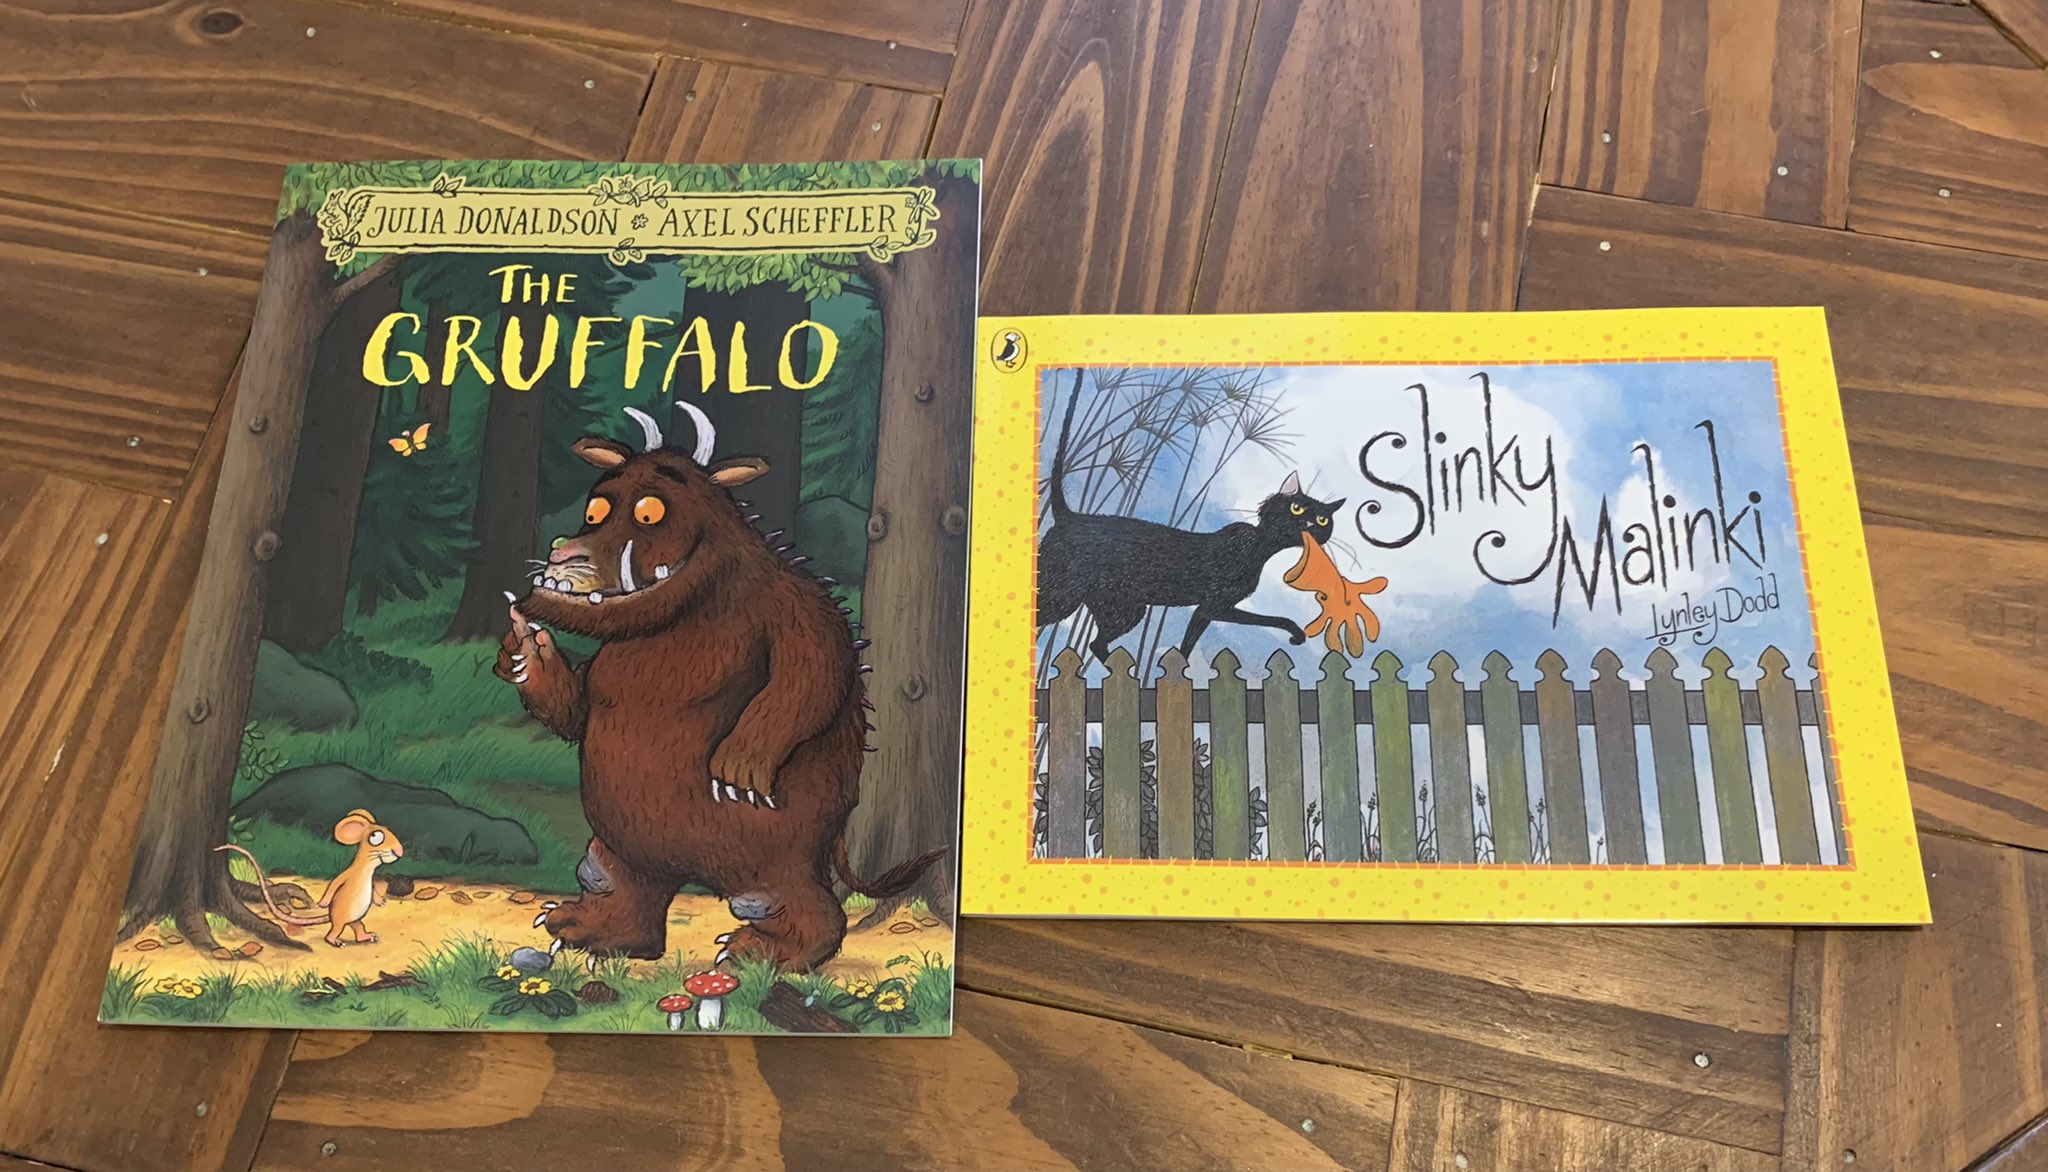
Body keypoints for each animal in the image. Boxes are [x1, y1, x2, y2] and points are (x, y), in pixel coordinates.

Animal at [1037, 371, 1344, 663]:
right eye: (1297, 508)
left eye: (1323, 520)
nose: (1308, 523)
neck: (1259, 547)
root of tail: (1070, 517)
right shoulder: (1216, 605)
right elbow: (1268, 619)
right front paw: (1296, 633)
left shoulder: (1205, 611)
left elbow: (1187, 645)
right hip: (1062, 594)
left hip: (1125, 608)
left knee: (1096, 643)